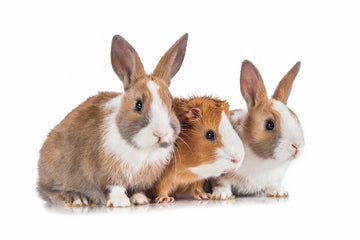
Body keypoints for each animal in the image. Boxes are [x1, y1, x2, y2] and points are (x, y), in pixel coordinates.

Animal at [36, 33, 188, 206]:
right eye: (138, 105)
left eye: (172, 105)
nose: (160, 133)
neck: (143, 150)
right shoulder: (107, 174)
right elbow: (115, 187)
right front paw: (121, 203)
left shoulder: (141, 180)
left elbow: (137, 189)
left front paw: (140, 200)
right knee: (48, 191)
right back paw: (75, 199)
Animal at [212, 60, 306, 199]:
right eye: (269, 124)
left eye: (296, 117)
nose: (297, 146)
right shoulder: (221, 173)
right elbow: (221, 183)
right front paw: (221, 195)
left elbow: (272, 184)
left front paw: (279, 192)